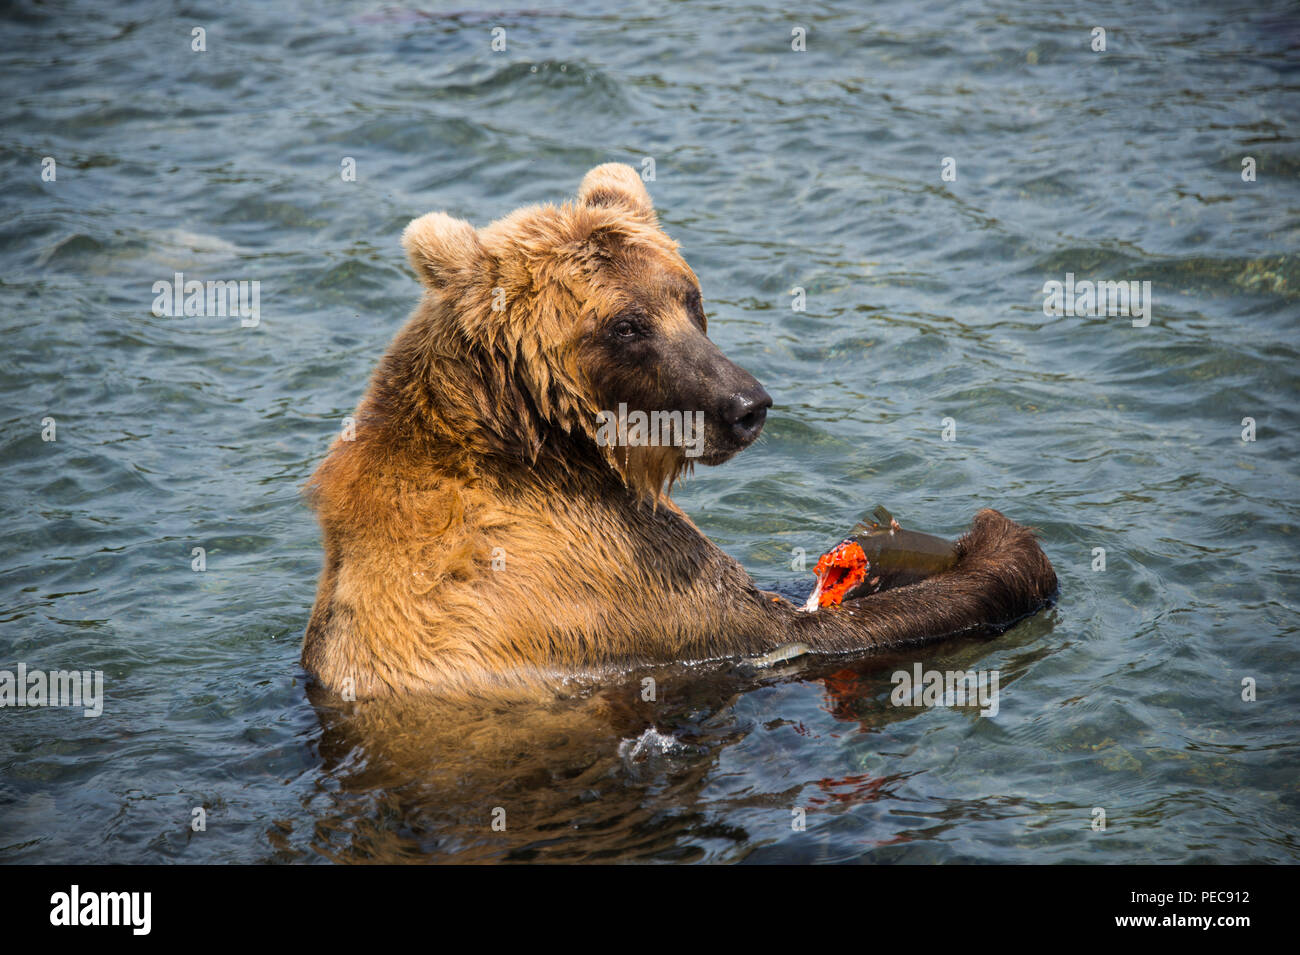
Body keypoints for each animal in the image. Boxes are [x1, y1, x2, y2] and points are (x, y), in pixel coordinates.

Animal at [304, 164, 1055, 701]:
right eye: (626, 325)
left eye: (689, 298)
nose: (746, 403)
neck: (539, 442)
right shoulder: (607, 573)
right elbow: (795, 630)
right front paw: (1001, 543)